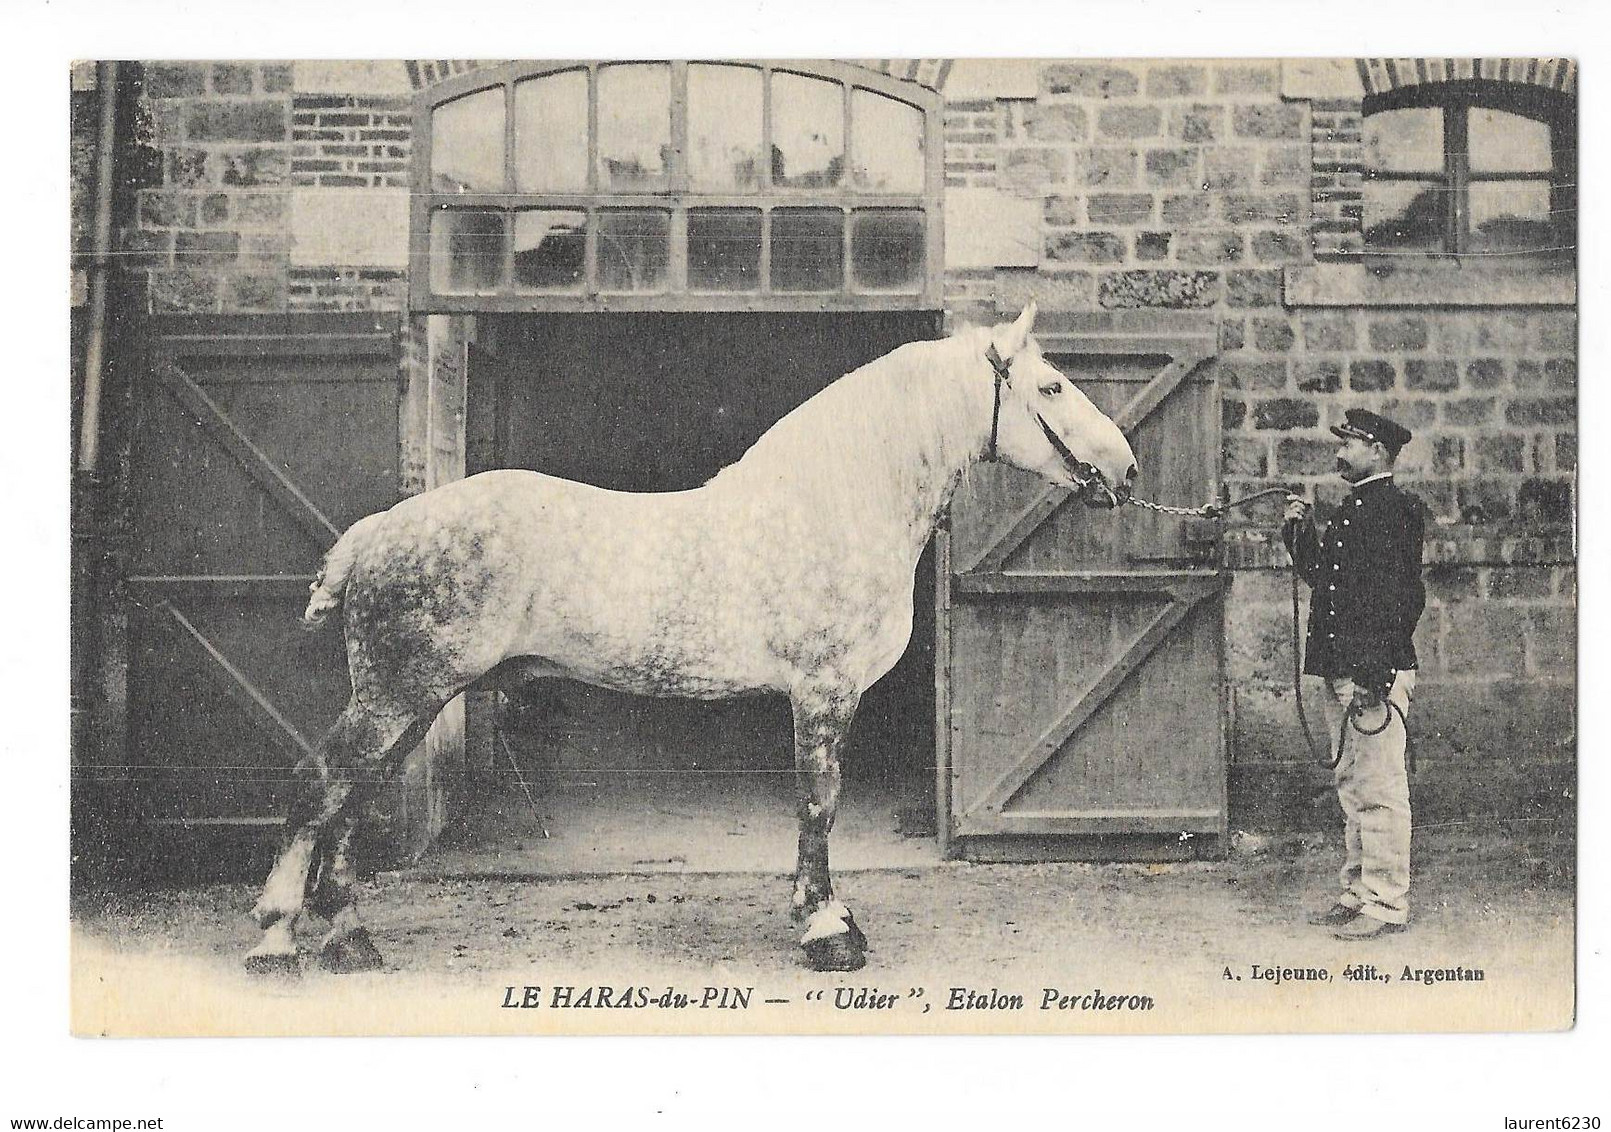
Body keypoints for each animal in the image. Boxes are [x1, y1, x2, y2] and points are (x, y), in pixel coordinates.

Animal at [248, 302, 1134, 972]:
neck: (834, 502)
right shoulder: (822, 690)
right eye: (1051, 384)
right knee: (317, 787)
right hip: (398, 694)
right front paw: (827, 931)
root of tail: (379, 530)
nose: (1124, 470)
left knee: (353, 797)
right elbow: (818, 804)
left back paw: (350, 940)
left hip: (417, 698)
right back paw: (275, 940)